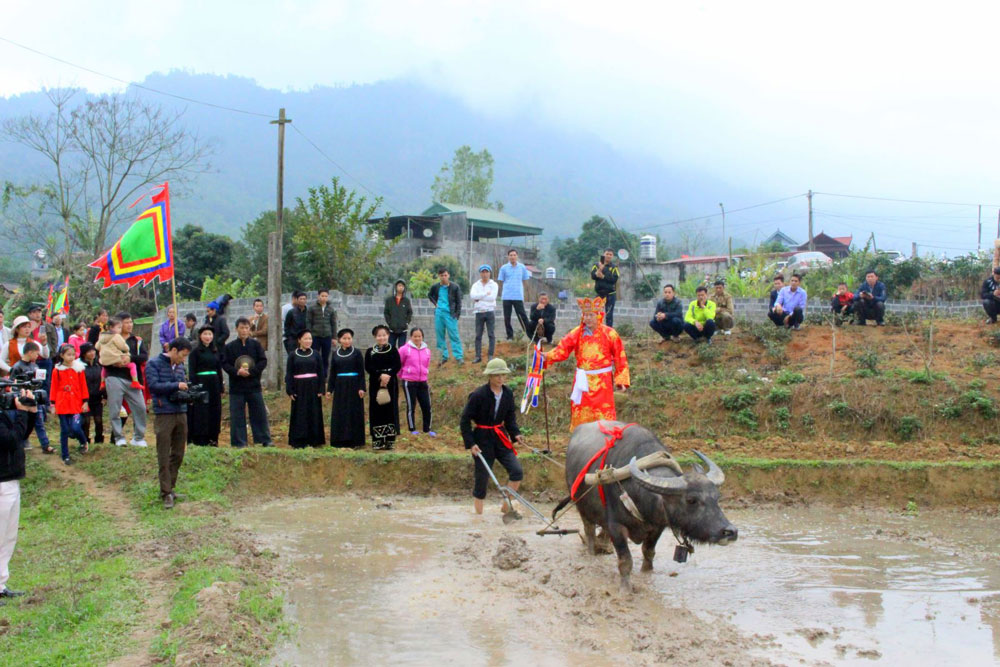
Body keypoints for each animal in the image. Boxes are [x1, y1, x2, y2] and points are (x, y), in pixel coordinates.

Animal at [560, 420, 740, 592]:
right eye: (691, 500)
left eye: (717, 497)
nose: (730, 531)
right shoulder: (616, 527)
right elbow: (625, 561)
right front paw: (626, 590)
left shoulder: (657, 527)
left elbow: (648, 552)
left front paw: (647, 574)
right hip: (582, 507)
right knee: (589, 532)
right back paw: (591, 554)